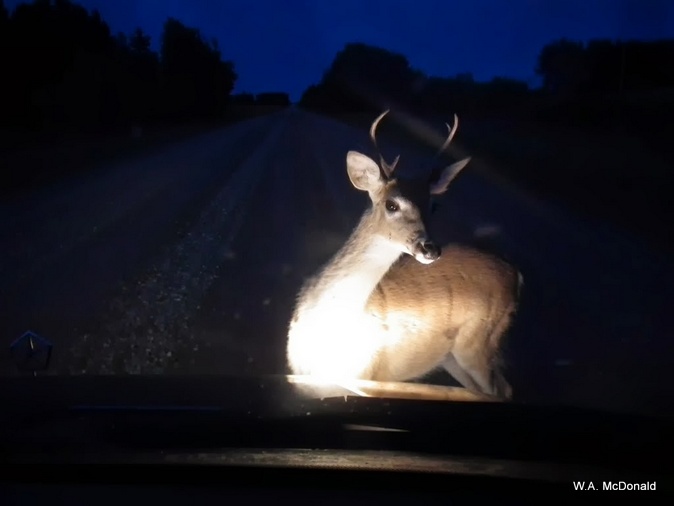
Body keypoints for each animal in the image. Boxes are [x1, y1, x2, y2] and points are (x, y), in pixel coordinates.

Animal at [286, 110, 522, 401]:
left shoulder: (371, 379)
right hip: (453, 357)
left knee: (501, 390)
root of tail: (516, 274)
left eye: (433, 206)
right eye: (391, 204)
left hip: (479, 342)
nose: (430, 248)